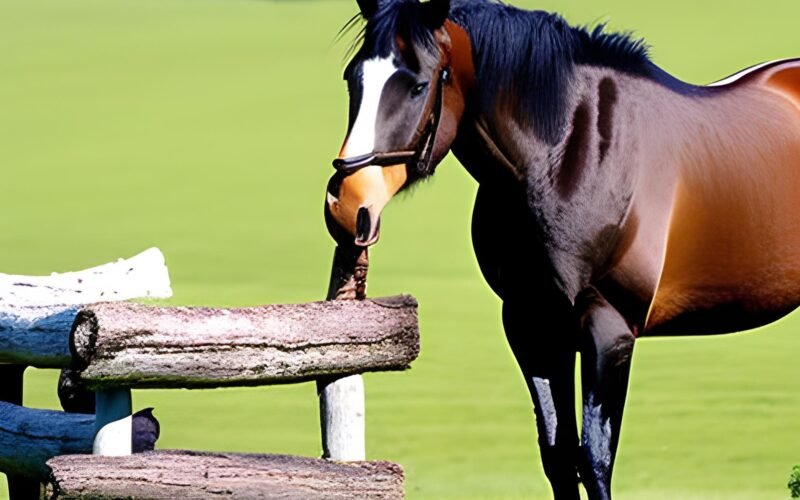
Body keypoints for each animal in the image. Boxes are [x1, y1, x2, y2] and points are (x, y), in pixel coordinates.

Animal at [322, 0, 800, 498]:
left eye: (418, 84)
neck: (572, 155)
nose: (348, 205)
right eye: (353, 78)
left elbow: (594, 458)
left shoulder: (609, 332)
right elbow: (558, 454)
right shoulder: (532, 324)